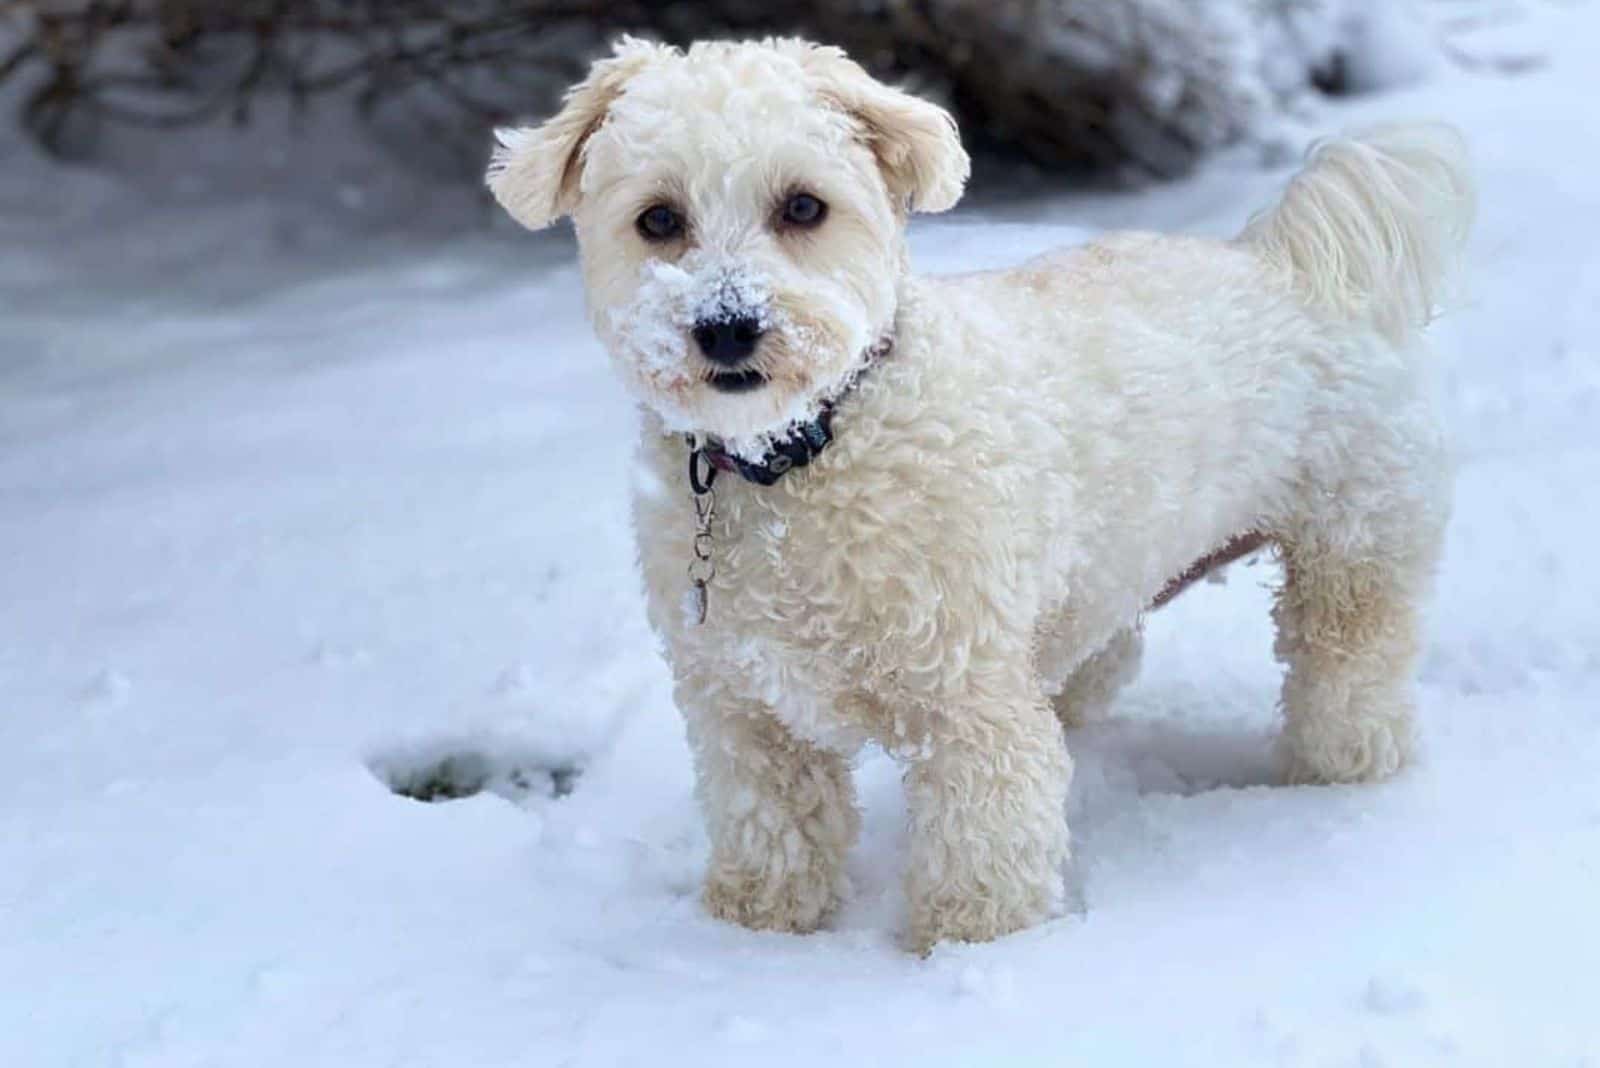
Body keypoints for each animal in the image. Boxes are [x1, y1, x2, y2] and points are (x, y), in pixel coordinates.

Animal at [486, 37, 1472, 952]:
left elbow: (982, 846)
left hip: (1356, 544)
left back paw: (1340, 776)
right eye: (658, 218)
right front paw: (755, 929)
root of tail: (1293, 263)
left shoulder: (970, 704)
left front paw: (963, 947)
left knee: (1350, 674)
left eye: (803, 206)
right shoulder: (742, 708)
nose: (727, 326)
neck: (805, 454)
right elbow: (774, 828)